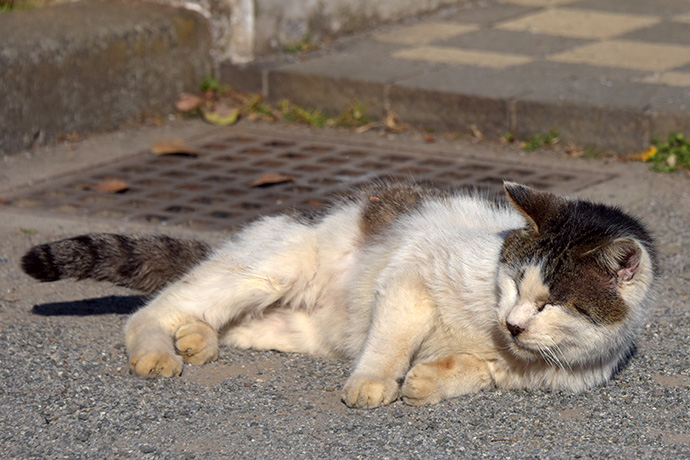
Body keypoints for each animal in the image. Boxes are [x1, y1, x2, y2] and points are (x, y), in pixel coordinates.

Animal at [22, 181, 656, 408]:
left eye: (552, 303)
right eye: (514, 282)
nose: (515, 323)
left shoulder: (525, 370)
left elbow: (478, 372)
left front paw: (430, 381)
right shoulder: (410, 278)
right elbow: (391, 340)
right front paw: (375, 382)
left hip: (289, 326)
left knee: (219, 321)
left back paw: (197, 340)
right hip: (265, 270)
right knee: (154, 309)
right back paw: (159, 348)